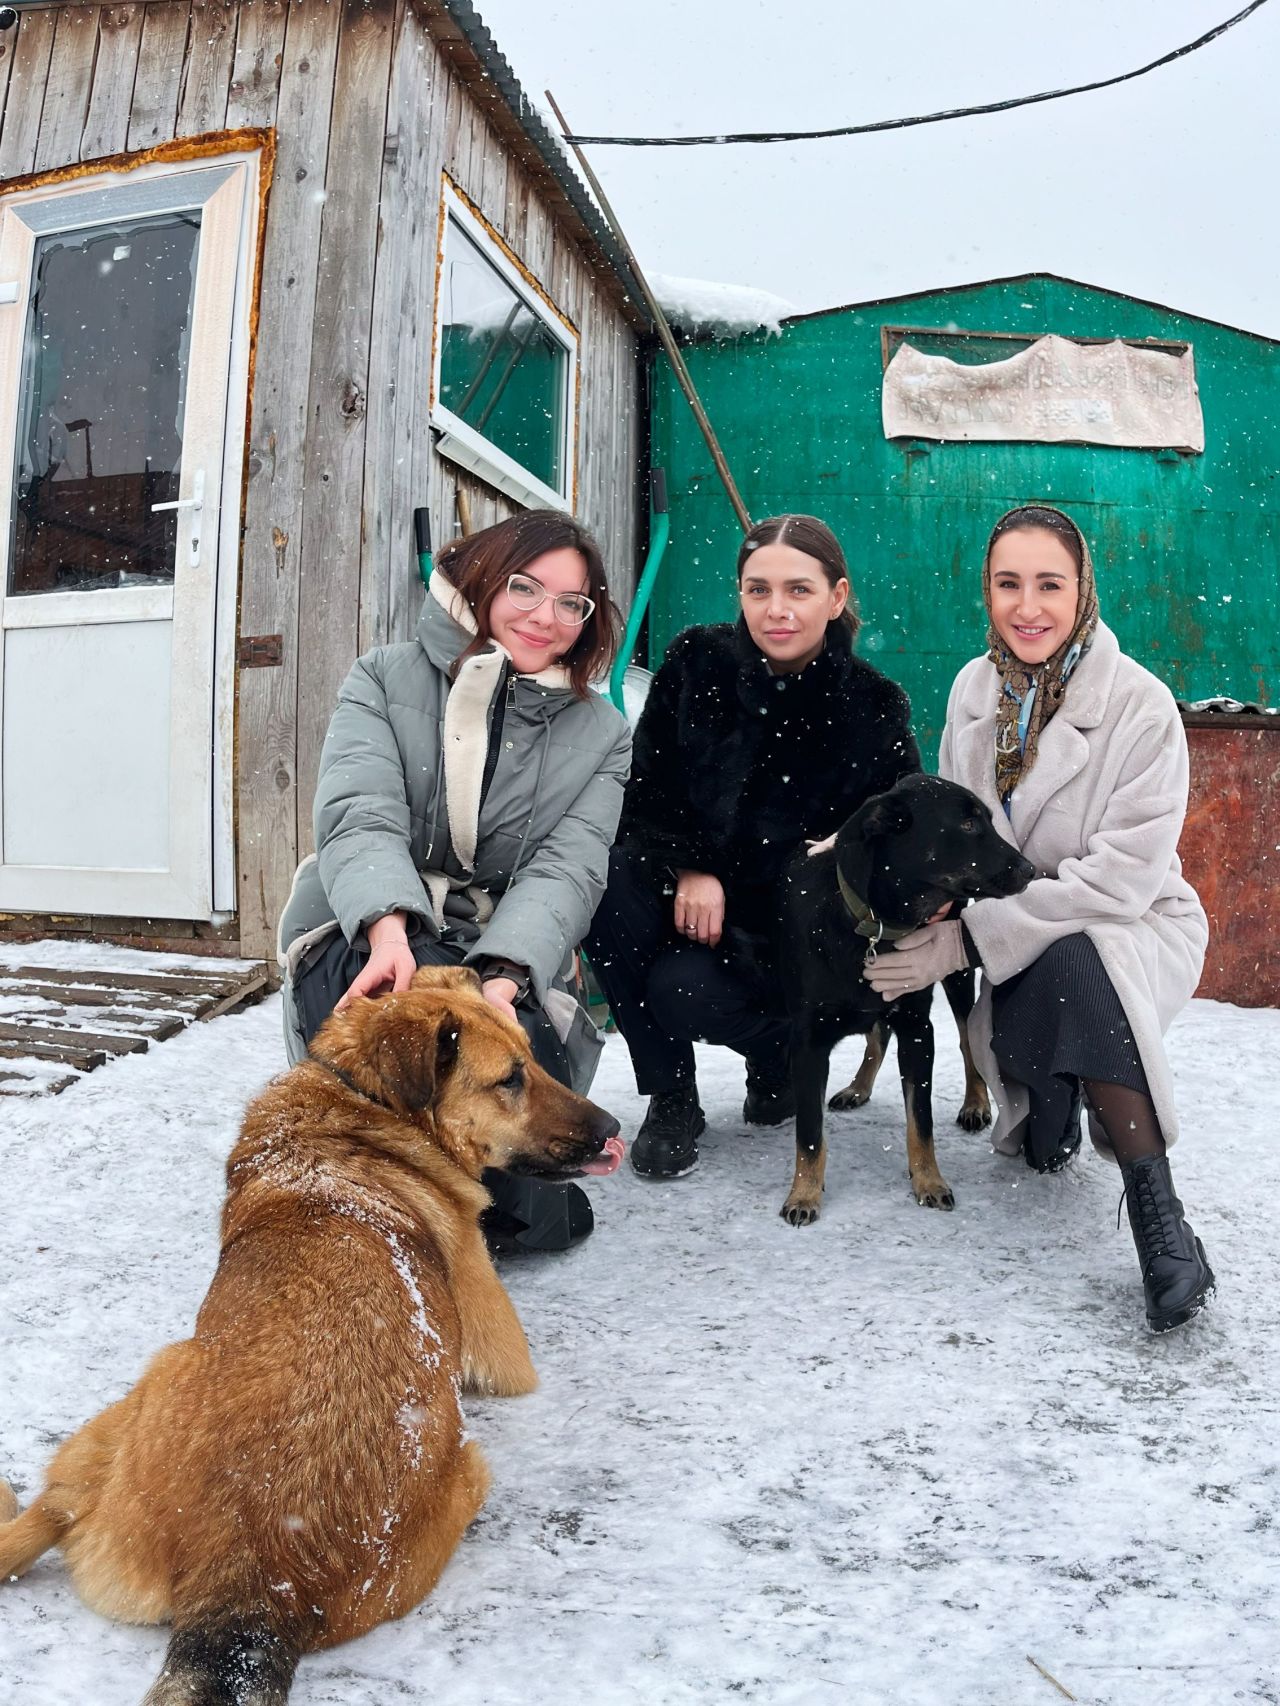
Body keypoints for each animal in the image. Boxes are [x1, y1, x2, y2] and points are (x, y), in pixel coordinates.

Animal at [0, 969, 621, 1699]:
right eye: (511, 1078)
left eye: (532, 1056)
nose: (612, 1129)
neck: (365, 1102)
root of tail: (249, 1581)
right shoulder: (504, 1353)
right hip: (141, 1399)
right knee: (39, 1517)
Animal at [778, 774, 1037, 1228]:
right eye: (967, 825)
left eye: (988, 820)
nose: (1030, 870)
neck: (877, 926)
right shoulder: (807, 1042)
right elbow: (809, 1133)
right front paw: (804, 1194)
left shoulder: (918, 1028)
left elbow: (921, 1120)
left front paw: (929, 1180)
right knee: (877, 1034)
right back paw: (858, 1088)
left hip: (955, 974)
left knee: (965, 1038)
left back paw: (975, 1102)